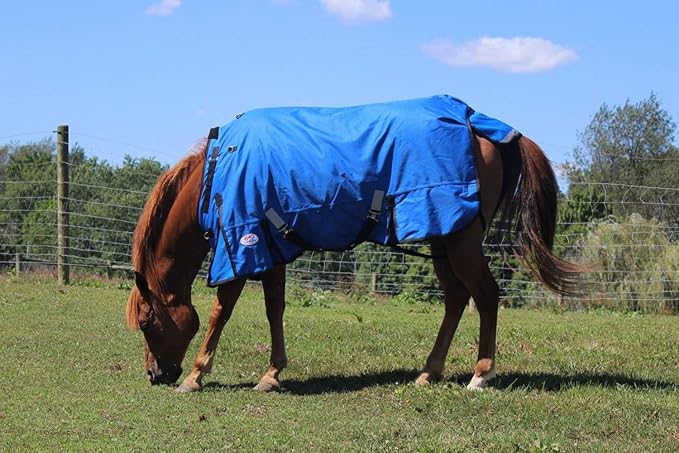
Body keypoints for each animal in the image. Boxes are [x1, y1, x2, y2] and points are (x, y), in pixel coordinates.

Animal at [125, 96, 582, 393]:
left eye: (147, 323)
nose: (154, 375)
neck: (220, 170)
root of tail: (477, 123)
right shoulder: (271, 249)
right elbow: (274, 308)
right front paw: (272, 374)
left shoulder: (243, 242)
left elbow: (222, 311)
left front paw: (195, 375)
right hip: (440, 235)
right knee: (456, 298)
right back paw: (429, 371)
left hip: (460, 239)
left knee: (485, 296)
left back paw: (480, 375)